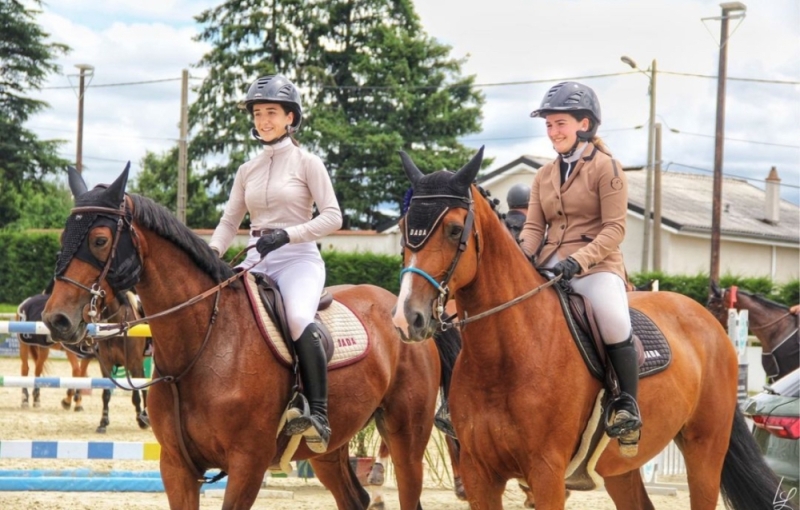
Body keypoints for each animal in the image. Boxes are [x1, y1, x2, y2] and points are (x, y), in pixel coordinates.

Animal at [45, 166, 456, 510]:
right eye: (63, 236)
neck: (203, 345)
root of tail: (404, 313)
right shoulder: (177, 466)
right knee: (355, 499)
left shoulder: (247, 464)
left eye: (100, 240)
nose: (56, 320)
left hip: (406, 438)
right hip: (330, 448)